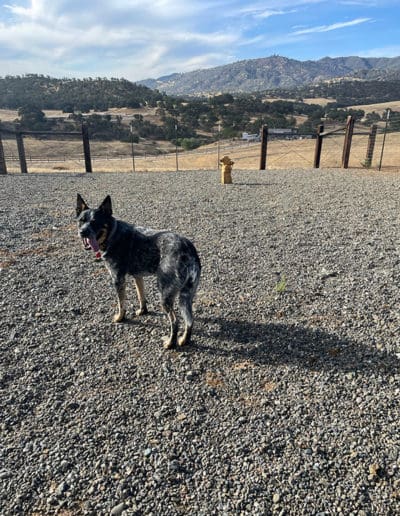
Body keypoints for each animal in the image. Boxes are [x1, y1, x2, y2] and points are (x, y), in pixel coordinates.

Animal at [76, 195, 200, 350]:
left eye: (94, 222)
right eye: (81, 221)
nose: (82, 232)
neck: (113, 233)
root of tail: (188, 250)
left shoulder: (118, 279)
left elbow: (121, 304)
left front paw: (120, 318)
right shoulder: (138, 276)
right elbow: (141, 296)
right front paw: (143, 311)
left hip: (165, 295)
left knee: (175, 321)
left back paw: (170, 343)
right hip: (186, 296)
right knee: (189, 320)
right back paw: (184, 340)